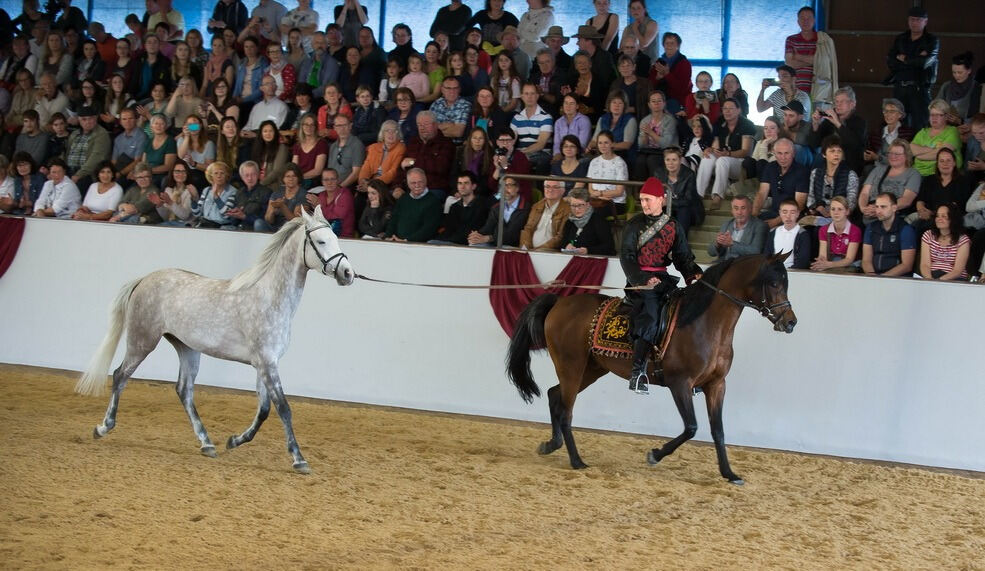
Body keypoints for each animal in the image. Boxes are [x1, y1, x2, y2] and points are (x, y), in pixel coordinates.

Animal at [77, 210, 354, 474]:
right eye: (321, 241)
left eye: (336, 238)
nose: (347, 273)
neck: (270, 298)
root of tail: (144, 279)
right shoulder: (267, 363)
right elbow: (283, 408)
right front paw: (299, 460)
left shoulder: (264, 364)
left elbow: (264, 410)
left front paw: (234, 440)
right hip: (142, 341)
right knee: (120, 375)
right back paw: (103, 428)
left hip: (187, 348)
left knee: (184, 390)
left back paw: (207, 444)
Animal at [508, 254, 792, 482]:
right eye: (774, 284)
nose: (790, 322)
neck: (703, 323)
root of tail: (559, 303)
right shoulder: (680, 383)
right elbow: (691, 427)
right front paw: (655, 454)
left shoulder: (716, 385)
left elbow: (718, 430)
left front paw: (729, 473)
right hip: (572, 366)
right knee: (566, 410)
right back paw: (577, 461)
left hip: (591, 370)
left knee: (555, 396)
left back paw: (551, 445)